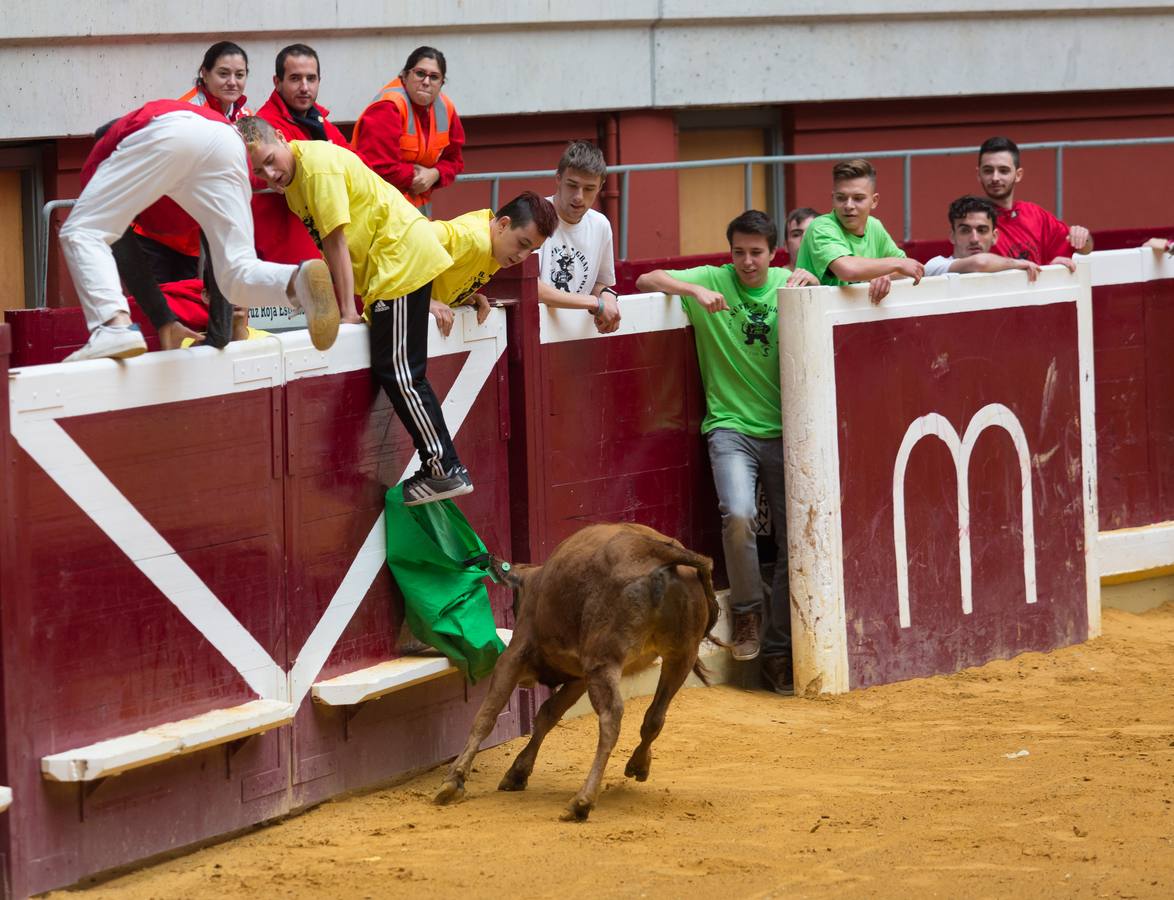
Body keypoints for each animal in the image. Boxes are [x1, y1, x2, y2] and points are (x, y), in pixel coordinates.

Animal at [436, 520, 718, 826]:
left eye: (515, 604)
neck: (536, 582)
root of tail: (657, 551)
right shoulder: (579, 677)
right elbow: (547, 714)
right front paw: (517, 772)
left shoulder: (514, 657)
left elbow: (486, 716)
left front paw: (454, 780)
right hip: (681, 656)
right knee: (655, 716)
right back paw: (637, 765)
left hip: (604, 660)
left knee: (611, 718)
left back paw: (582, 801)